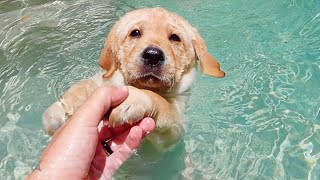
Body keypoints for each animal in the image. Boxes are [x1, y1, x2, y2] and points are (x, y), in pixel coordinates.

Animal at [42, 7, 225, 152]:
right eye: (135, 33)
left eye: (175, 38)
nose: (153, 55)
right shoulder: (102, 79)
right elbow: (83, 85)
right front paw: (59, 110)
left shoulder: (174, 133)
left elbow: (162, 104)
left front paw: (134, 98)